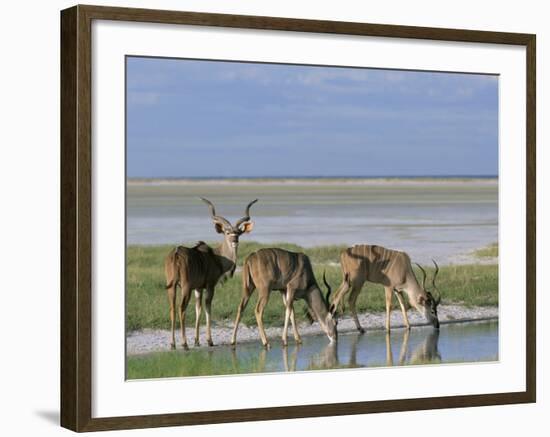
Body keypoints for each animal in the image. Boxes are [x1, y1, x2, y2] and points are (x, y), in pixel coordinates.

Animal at [165, 197, 258, 348]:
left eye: (238, 233)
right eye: (227, 232)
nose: (234, 241)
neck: (216, 256)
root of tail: (176, 254)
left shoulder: (198, 288)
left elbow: (198, 309)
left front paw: (197, 341)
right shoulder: (210, 286)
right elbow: (208, 308)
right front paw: (209, 341)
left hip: (172, 287)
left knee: (172, 308)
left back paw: (173, 344)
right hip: (185, 287)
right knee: (181, 308)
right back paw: (184, 343)